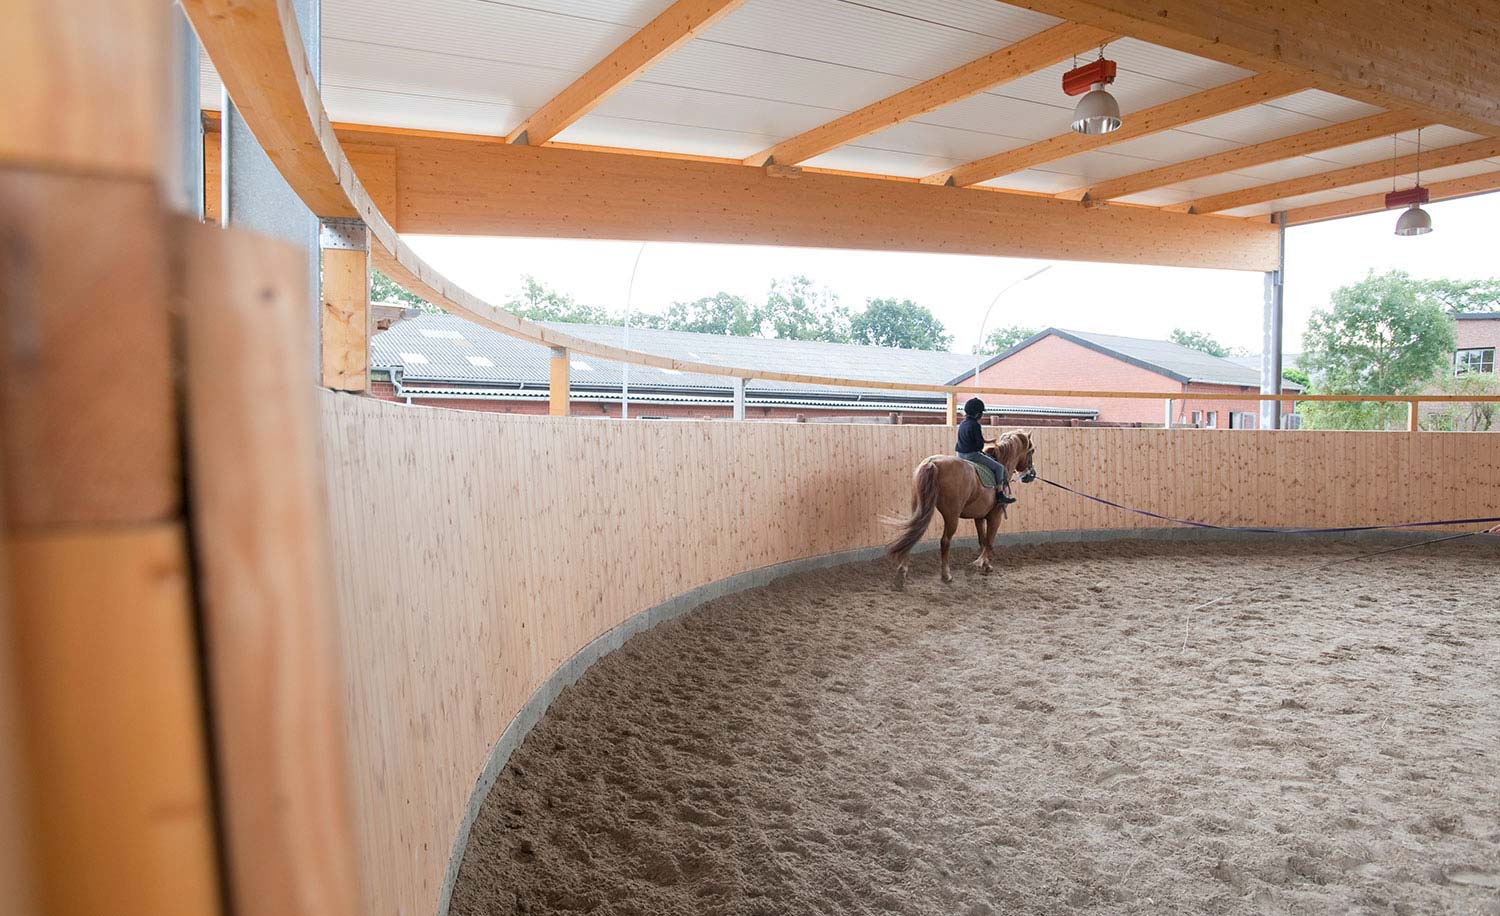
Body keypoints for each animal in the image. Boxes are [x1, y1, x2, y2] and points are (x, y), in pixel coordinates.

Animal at [886, 431, 1036, 588]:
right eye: (1031, 451)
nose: (1031, 475)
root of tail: (932, 463)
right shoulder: (995, 516)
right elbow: (989, 541)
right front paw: (982, 564)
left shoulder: (979, 517)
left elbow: (982, 540)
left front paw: (984, 564)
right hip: (952, 516)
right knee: (944, 541)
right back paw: (946, 575)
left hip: (919, 509)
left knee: (912, 535)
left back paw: (902, 572)